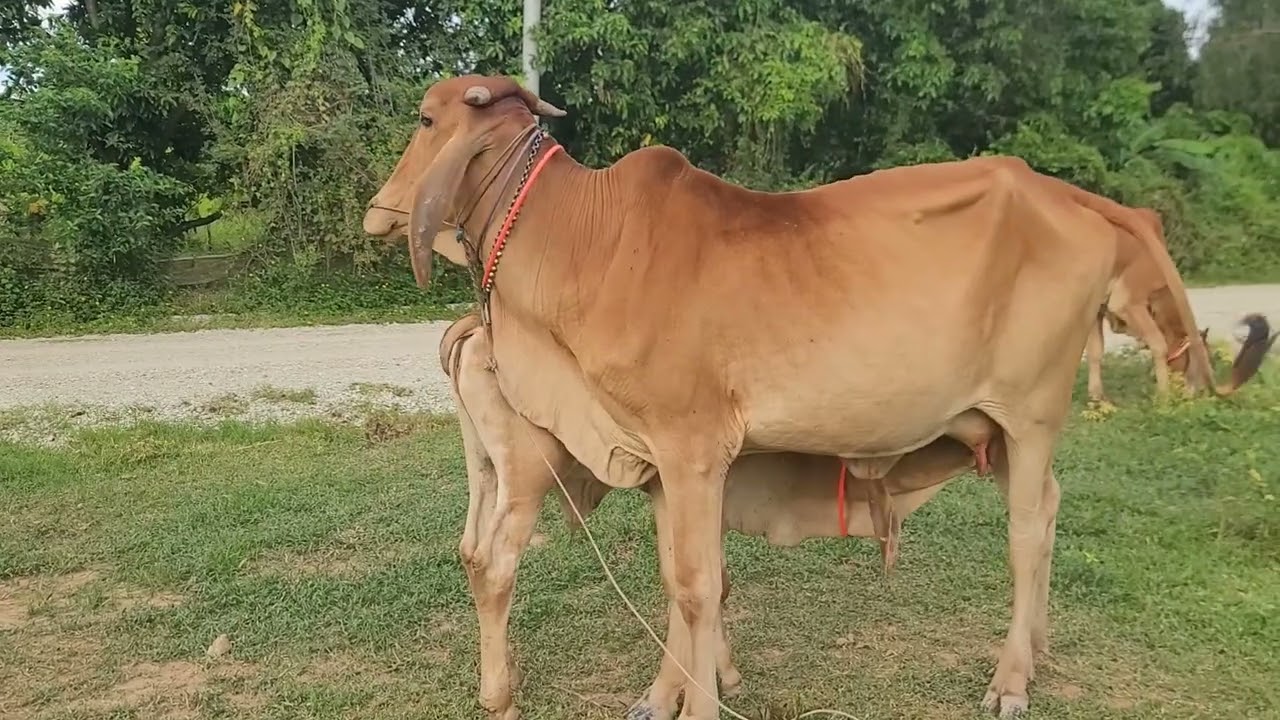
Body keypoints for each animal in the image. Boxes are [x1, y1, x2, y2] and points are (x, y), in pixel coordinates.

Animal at [438, 310, 994, 720]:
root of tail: (473, 327)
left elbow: (704, 583)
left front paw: (716, 677)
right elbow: (692, 586)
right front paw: (681, 692)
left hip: (485, 469)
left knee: (468, 549)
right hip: (529, 473)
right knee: (495, 563)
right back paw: (500, 699)